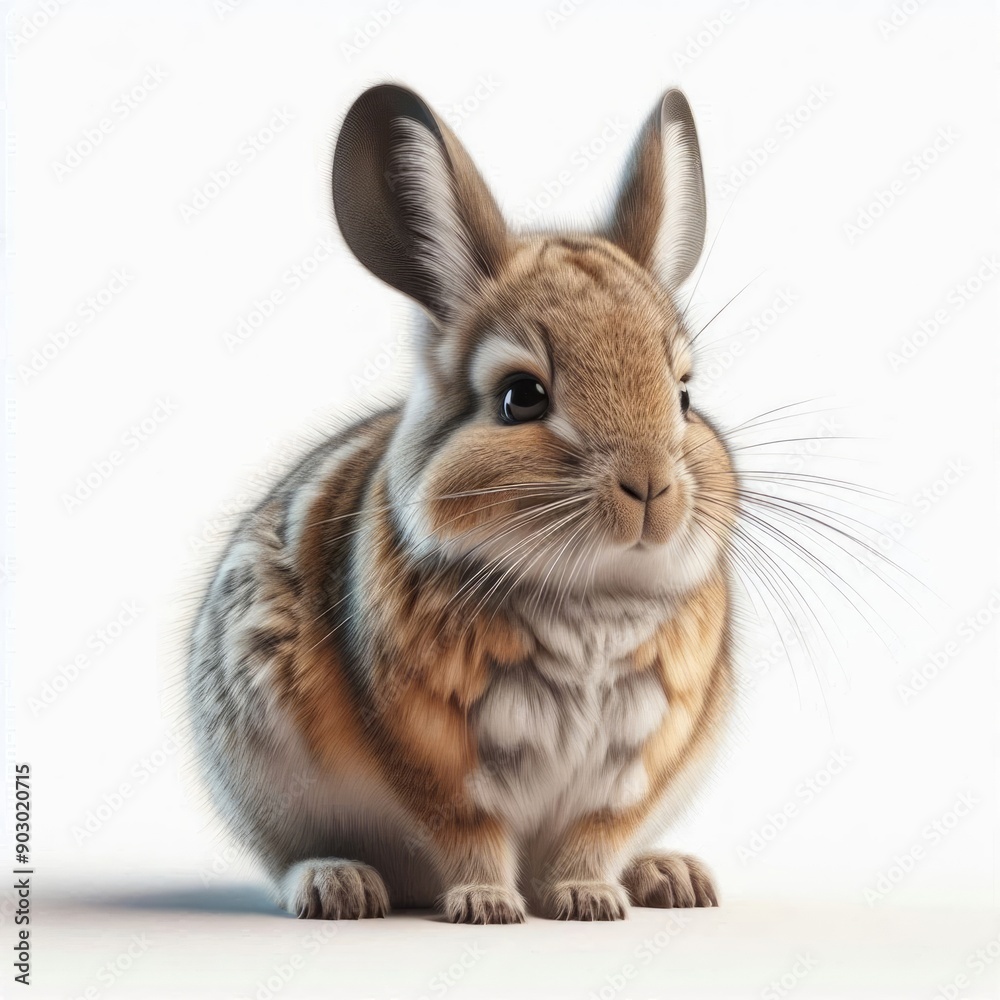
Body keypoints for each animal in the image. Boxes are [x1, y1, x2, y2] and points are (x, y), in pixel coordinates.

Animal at [187, 82, 737, 923]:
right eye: (521, 396)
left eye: (684, 394)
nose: (651, 486)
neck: (588, 598)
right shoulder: (434, 758)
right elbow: (468, 832)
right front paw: (487, 906)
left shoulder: (637, 764)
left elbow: (595, 836)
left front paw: (587, 899)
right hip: (262, 776)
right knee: (289, 858)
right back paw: (339, 885)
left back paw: (670, 876)